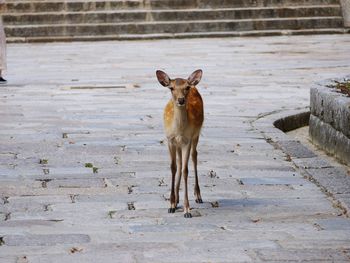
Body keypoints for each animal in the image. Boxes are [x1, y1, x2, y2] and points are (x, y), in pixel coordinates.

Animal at [157, 69, 205, 219]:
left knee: (194, 156)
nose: (181, 100)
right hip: (178, 144)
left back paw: (198, 195)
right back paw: (176, 199)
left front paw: (187, 210)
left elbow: (185, 170)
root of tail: (196, 86)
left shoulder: (187, 140)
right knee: (178, 162)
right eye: (171, 88)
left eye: (186, 87)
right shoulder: (170, 139)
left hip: (196, 134)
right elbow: (173, 167)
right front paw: (171, 204)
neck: (178, 130)